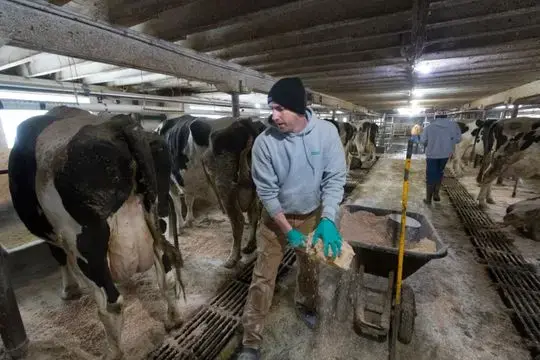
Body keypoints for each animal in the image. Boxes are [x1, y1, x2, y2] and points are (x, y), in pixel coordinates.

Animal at [7, 107, 185, 360]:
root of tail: (118, 124)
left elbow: (59, 256)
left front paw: (70, 289)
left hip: (86, 240)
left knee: (111, 304)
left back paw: (114, 353)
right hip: (160, 215)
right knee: (166, 275)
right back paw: (173, 319)